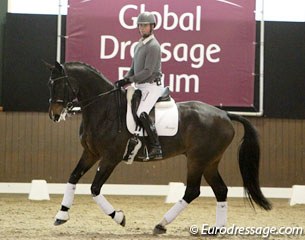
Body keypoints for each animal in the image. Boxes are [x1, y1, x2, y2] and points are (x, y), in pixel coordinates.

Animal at [46, 61, 270, 234]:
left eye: (60, 84)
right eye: (50, 84)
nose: (54, 115)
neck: (104, 109)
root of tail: (224, 114)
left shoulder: (110, 157)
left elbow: (94, 188)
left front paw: (119, 217)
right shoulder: (91, 153)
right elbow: (73, 177)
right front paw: (61, 215)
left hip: (197, 160)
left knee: (192, 191)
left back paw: (161, 224)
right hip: (210, 162)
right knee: (221, 189)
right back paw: (217, 229)